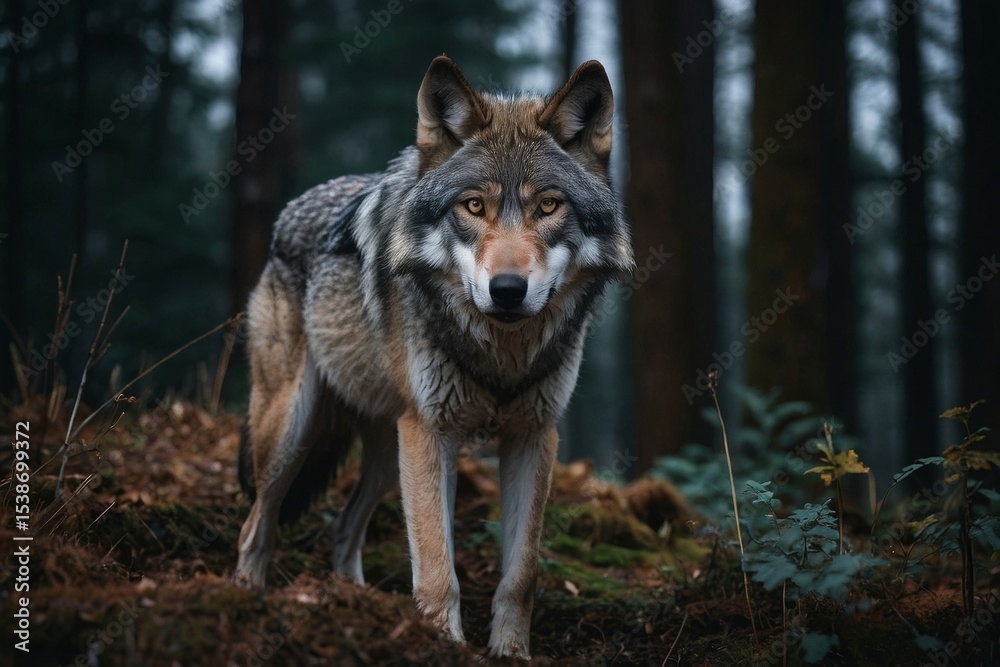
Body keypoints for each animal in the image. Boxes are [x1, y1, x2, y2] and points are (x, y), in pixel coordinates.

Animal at [234, 55, 633, 659]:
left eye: (548, 205)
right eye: (473, 206)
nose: (508, 290)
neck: (500, 355)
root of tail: (287, 214)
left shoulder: (533, 436)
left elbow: (520, 575)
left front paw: (511, 653)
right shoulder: (431, 433)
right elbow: (438, 569)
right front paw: (443, 645)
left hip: (386, 452)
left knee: (343, 529)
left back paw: (356, 607)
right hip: (293, 433)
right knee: (256, 526)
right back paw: (244, 602)